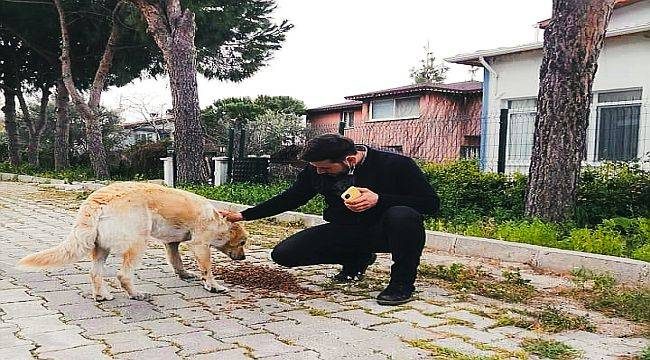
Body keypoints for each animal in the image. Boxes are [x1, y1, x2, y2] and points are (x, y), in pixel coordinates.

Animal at [17, 183, 247, 300]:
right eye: (243, 243)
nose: (244, 258)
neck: (218, 219)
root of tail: (97, 199)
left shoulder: (171, 243)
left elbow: (176, 261)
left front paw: (184, 275)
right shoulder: (200, 245)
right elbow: (207, 270)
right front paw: (213, 286)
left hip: (101, 248)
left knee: (94, 273)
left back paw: (102, 295)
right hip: (138, 243)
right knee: (123, 275)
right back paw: (137, 294)